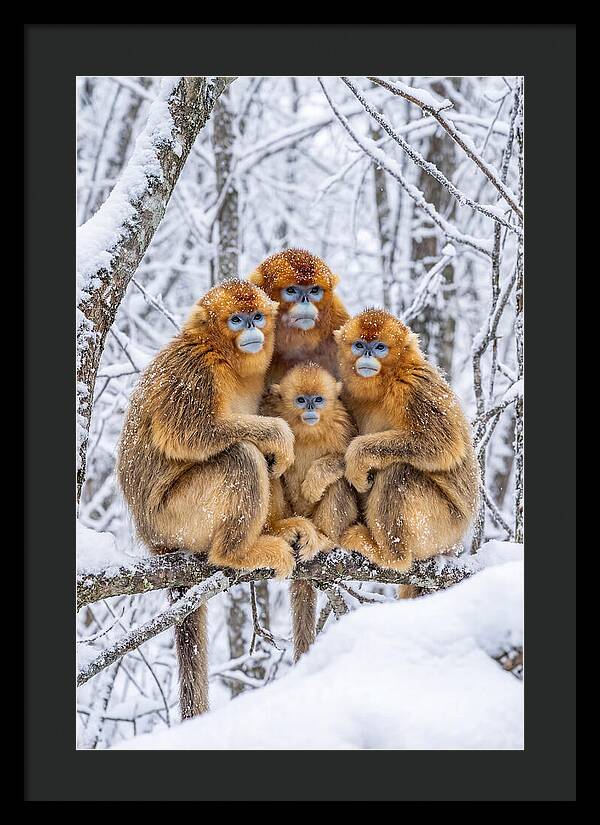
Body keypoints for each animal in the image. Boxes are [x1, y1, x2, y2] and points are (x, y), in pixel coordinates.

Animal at [117, 279, 298, 719]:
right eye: (236, 319)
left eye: (257, 316)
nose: (251, 328)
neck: (226, 359)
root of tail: (153, 539)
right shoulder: (195, 370)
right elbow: (190, 434)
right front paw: (278, 433)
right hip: (177, 517)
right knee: (242, 456)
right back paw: (236, 552)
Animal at [265, 363, 359, 661]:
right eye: (300, 400)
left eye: (317, 399)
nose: (309, 408)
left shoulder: (343, 423)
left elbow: (350, 462)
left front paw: (315, 481)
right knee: (269, 468)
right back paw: (280, 529)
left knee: (340, 483)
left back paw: (325, 539)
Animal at [334, 309, 479, 598]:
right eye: (359, 345)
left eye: (379, 347)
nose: (368, 354)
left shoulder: (414, 385)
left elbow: (444, 444)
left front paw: (357, 456)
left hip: (443, 528)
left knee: (399, 472)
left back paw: (390, 556)